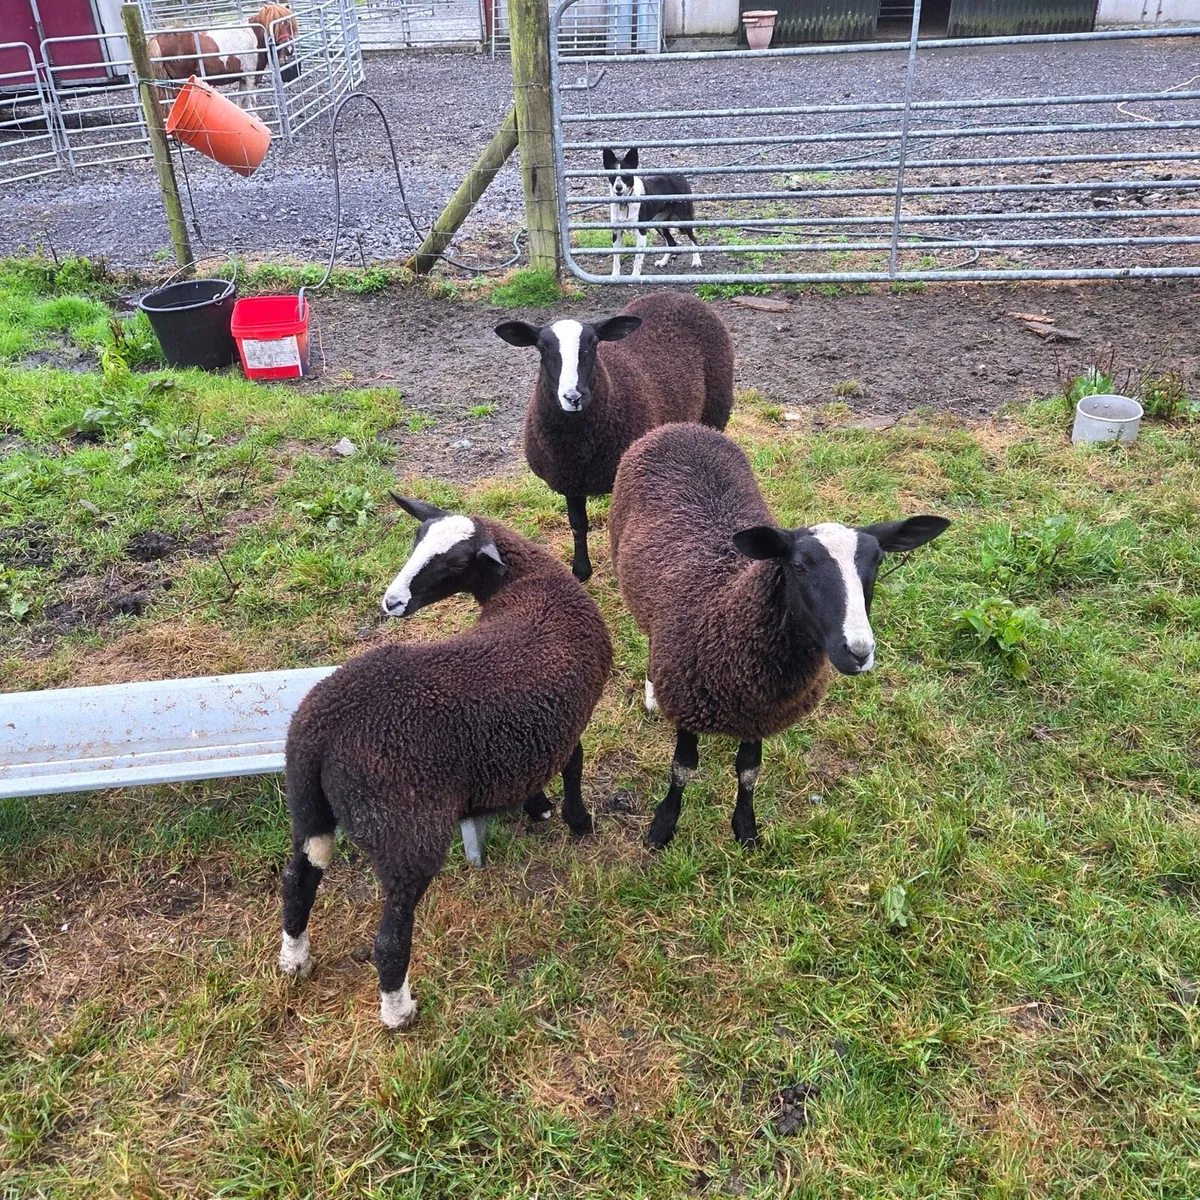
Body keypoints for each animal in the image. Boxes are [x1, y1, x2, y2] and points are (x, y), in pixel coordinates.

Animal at [278, 494, 613, 1028]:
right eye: (416, 541)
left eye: (453, 563)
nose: (392, 602)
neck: (530, 587)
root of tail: (323, 733)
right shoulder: (568, 722)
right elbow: (574, 764)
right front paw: (576, 820)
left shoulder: (536, 728)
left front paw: (538, 806)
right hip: (406, 827)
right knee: (390, 937)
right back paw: (398, 1011)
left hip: (308, 806)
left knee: (297, 880)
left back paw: (294, 959)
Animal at [494, 290, 734, 583]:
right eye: (541, 348)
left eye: (594, 343)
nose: (573, 397)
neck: (579, 446)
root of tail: (675, 293)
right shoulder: (570, 480)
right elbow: (578, 525)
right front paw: (581, 571)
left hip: (716, 406)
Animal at [609, 423, 950, 850]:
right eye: (799, 566)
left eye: (878, 561)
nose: (858, 652)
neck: (726, 607)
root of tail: (682, 427)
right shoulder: (688, 698)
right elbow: (682, 769)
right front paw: (663, 826)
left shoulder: (762, 713)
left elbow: (749, 772)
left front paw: (745, 829)